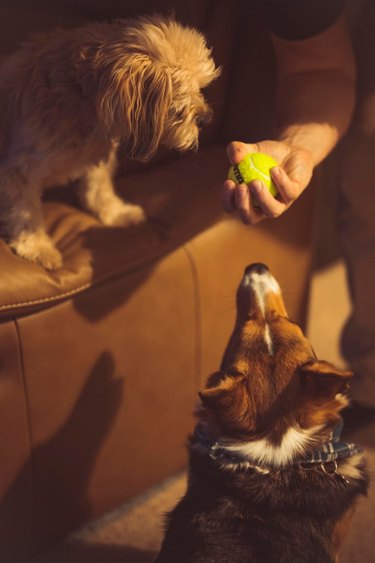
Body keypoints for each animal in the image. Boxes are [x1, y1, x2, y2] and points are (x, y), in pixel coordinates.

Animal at [0, 13, 220, 268]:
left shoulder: (98, 158)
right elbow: (26, 214)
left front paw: (117, 213)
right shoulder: (19, 172)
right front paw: (38, 247)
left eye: (201, 87)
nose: (208, 118)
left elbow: (99, 191)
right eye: (180, 104)